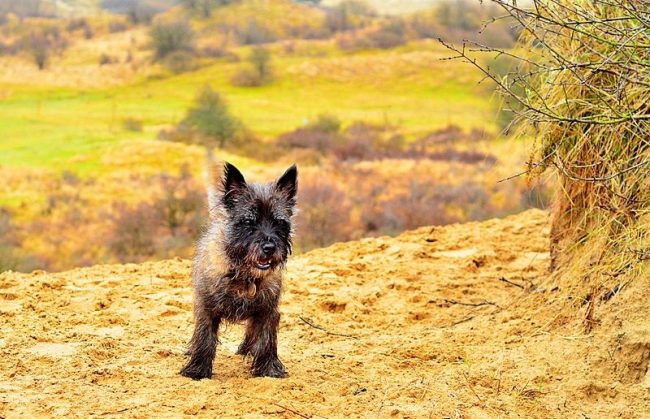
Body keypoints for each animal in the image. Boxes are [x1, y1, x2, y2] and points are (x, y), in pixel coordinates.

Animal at [180, 162, 296, 380]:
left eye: (280, 222)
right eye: (249, 221)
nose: (269, 248)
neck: (244, 275)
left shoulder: (267, 311)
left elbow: (266, 340)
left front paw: (268, 370)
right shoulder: (207, 309)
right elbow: (204, 338)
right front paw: (197, 370)